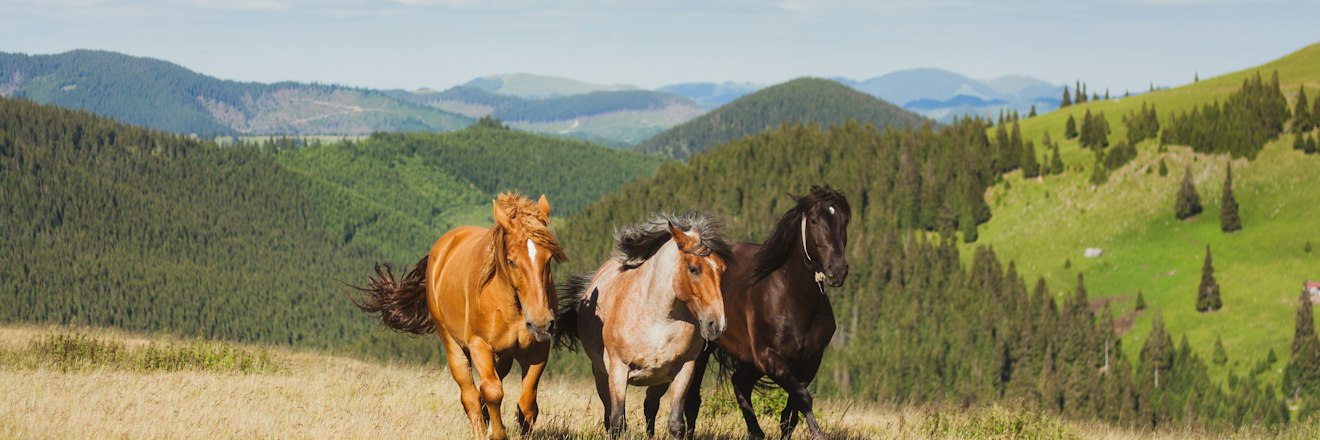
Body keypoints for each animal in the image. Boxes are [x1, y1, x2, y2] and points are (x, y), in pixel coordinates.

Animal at [353, 192, 568, 440]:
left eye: (549, 258)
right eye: (511, 261)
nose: (541, 323)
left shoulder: (538, 350)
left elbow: (528, 404)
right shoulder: (479, 345)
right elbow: (492, 391)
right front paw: (496, 433)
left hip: (503, 356)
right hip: (453, 344)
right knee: (471, 395)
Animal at [553, 212, 732, 439]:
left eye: (722, 270)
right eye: (694, 269)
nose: (716, 325)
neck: (658, 321)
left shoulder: (684, 369)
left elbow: (676, 424)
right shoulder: (618, 371)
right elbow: (617, 423)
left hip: (659, 381)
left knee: (650, 406)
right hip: (602, 375)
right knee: (609, 413)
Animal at [683, 185, 851, 440]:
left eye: (844, 221)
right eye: (814, 220)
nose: (837, 271)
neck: (794, 299)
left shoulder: (809, 362)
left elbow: (790, 414)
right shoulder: (769, 357)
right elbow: (803, 398)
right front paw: (818, 433)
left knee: (740, 383)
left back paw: (756, 432)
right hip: (705, 349)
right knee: (693, 401)